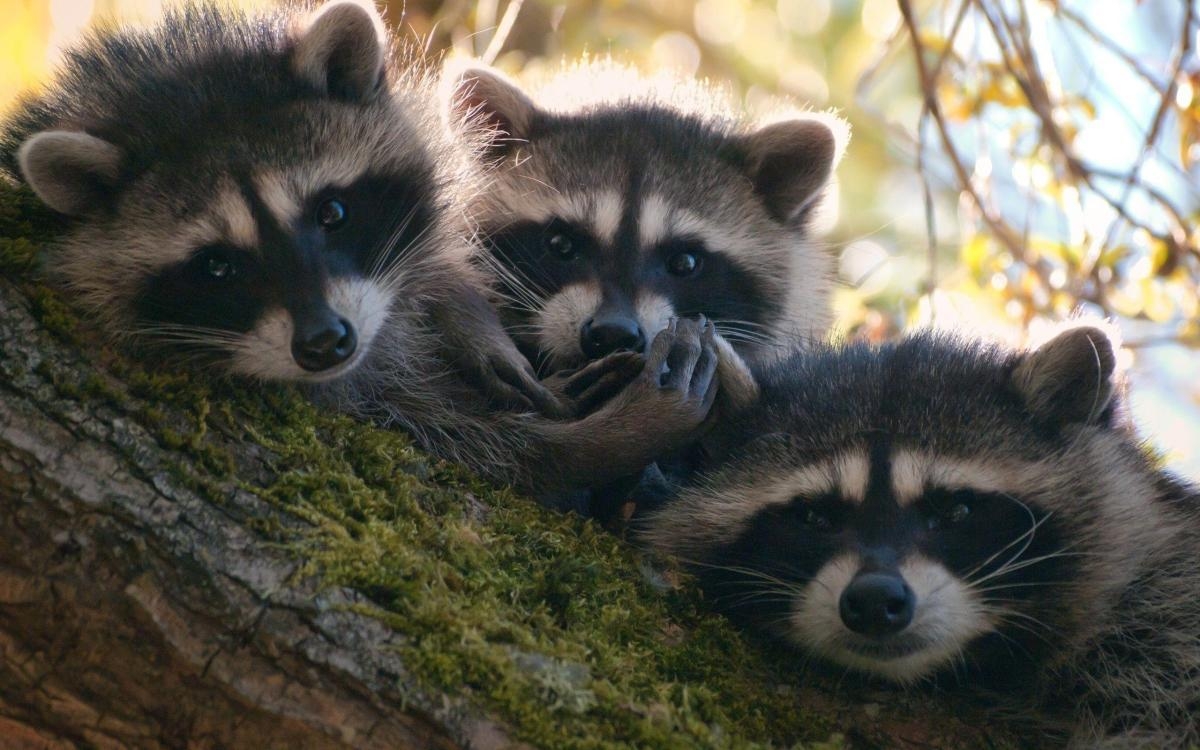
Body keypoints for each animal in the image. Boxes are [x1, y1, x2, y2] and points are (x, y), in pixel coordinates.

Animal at [2, 2, 720, 499]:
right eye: (217, 265)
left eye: (333, 213)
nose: (326, 342)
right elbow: (470, 446)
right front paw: (592, 443)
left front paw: (464, 312)